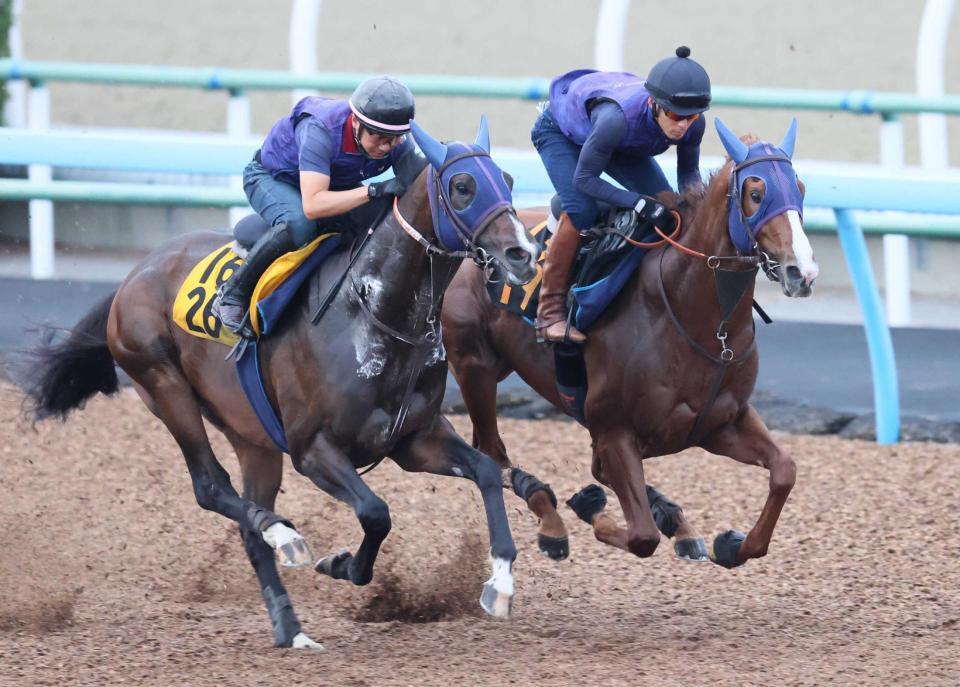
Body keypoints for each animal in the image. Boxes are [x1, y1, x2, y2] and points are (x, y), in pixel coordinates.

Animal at [26, 118, 544, 652]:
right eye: (462, 186)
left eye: (507, 179)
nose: (524, 254)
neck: (373, 310)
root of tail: (132, 277)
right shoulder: (312, 449)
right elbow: (376, 512)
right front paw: (340, 563)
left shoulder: (415, 439)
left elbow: (485, 470)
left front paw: (500, 581)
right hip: (164, 386)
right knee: (211, 486)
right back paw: (285, 537)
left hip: (251, 436)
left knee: (248, 521)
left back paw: (290, 626)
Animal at [442, 118, 816, 568]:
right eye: (756, 194)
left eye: (800, 188)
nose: (802, 272)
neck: (700, 321)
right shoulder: (613, 428)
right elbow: (640, 535)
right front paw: (592, 509)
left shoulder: (722, 423)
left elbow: (785, 471)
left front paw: (729, 543)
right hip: (473, 364)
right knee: (492, 451)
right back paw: (552, 520)